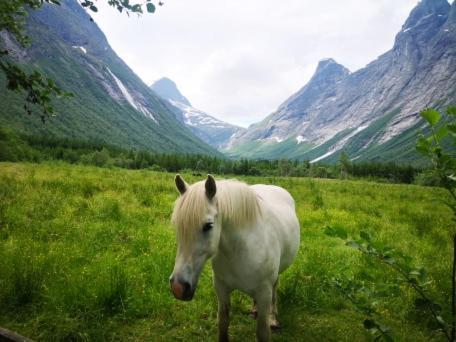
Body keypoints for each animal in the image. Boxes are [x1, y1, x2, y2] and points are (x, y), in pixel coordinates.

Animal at [169, 175, 302, 340]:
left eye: (208, 226)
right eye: (177, 226)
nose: (178, 287)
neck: (239, 251)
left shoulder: (264, 291)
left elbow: (263, 331)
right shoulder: (221, 288)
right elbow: (223, 322)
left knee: (275, 289)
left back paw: (273, 318)